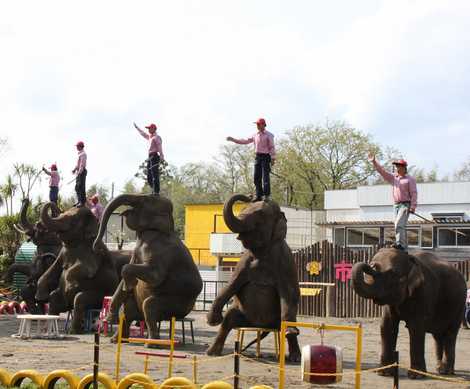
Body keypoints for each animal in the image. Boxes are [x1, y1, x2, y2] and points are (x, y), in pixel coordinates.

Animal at [36, 202, 123, 332]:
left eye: (73, 221)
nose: (52, 204)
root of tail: (68, 306)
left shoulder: (93, 252)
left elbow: (86, 269)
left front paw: (71, 286)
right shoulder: (62, 252)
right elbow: (53, 269)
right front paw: (40, 297)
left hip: (100, 296)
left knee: (79, 299)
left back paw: (74, 330)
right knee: (54, 298)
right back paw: (50, 328)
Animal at [92, 193, 203, 342]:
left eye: (146, 199)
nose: (96, 246)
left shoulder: (161, 252)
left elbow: (154, 277)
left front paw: (130, 283)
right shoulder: (137, 250)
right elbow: (122, 283)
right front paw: (110, 318)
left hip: (178, 305)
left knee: (150, 305)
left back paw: (151, 343)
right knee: (127, 311)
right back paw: (117, 339)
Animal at [206, 194, 302, 360]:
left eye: (261, 214)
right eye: (244, 208)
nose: (250, 195)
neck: (262, 252)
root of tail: (259, 326)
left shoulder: (286, 263)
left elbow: (289, 294)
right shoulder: (243, 263)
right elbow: (230, 286)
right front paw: (212, 320)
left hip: (275, 322)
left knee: (286, 323)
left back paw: (295, 356)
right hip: (243, 317)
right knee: (228, 319)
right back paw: (212, 353)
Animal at [352, 247, 466, 378]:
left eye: (391, 273)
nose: (372, 265)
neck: (410, 261)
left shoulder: (423, 293)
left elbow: (415, 328)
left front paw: (416, 376)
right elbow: (387, 326)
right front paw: (383, 373)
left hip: (459, 306)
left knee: (450, 334)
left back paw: (447, 372)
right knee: (437, 336)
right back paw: (439, 370)